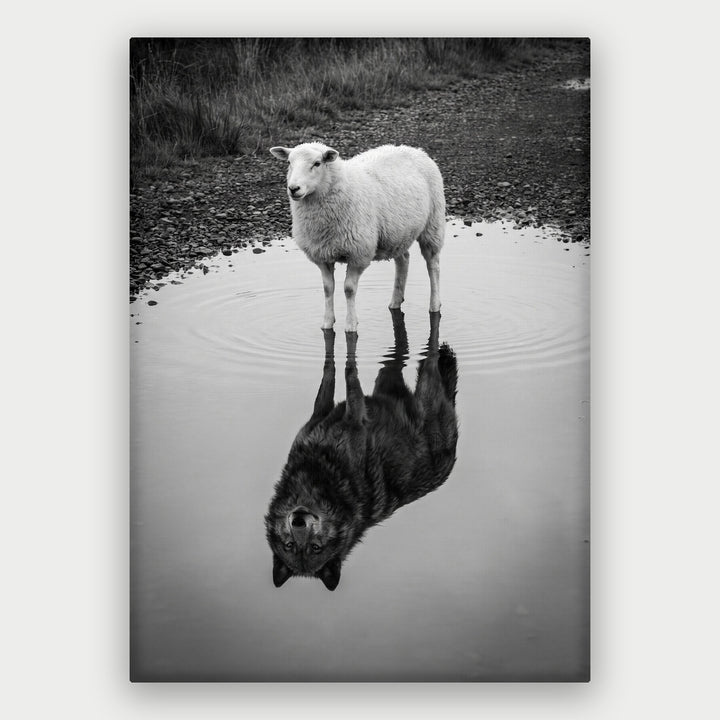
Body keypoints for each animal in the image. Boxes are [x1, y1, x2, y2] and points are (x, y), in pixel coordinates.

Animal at [265, 310, 459, 590]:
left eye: (315, 547)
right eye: (290, 545)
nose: (299, 519)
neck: (317, 474)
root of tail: (452, 459)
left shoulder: (355, 415)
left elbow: (348, 373)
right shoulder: (321, 411)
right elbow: (329, 372)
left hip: (426, 377)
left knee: (431, 349)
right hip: (386, 376)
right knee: (401, 353)